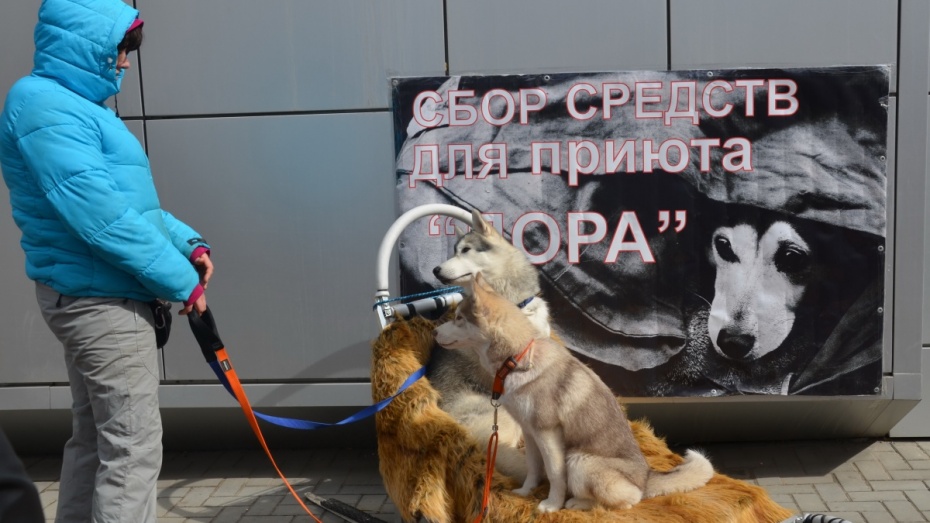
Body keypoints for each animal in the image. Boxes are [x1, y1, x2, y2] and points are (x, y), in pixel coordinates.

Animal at [434, 273, 714, 513]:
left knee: (626, 502)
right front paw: (525, 491)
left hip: (579, 460)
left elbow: (555, 474)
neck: (519, 358)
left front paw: (551, 505)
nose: (434, 331)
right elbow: (533, 468)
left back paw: (578, 503)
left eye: (459, 319)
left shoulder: (549, 434)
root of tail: (645, 478)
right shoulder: (529, 431)